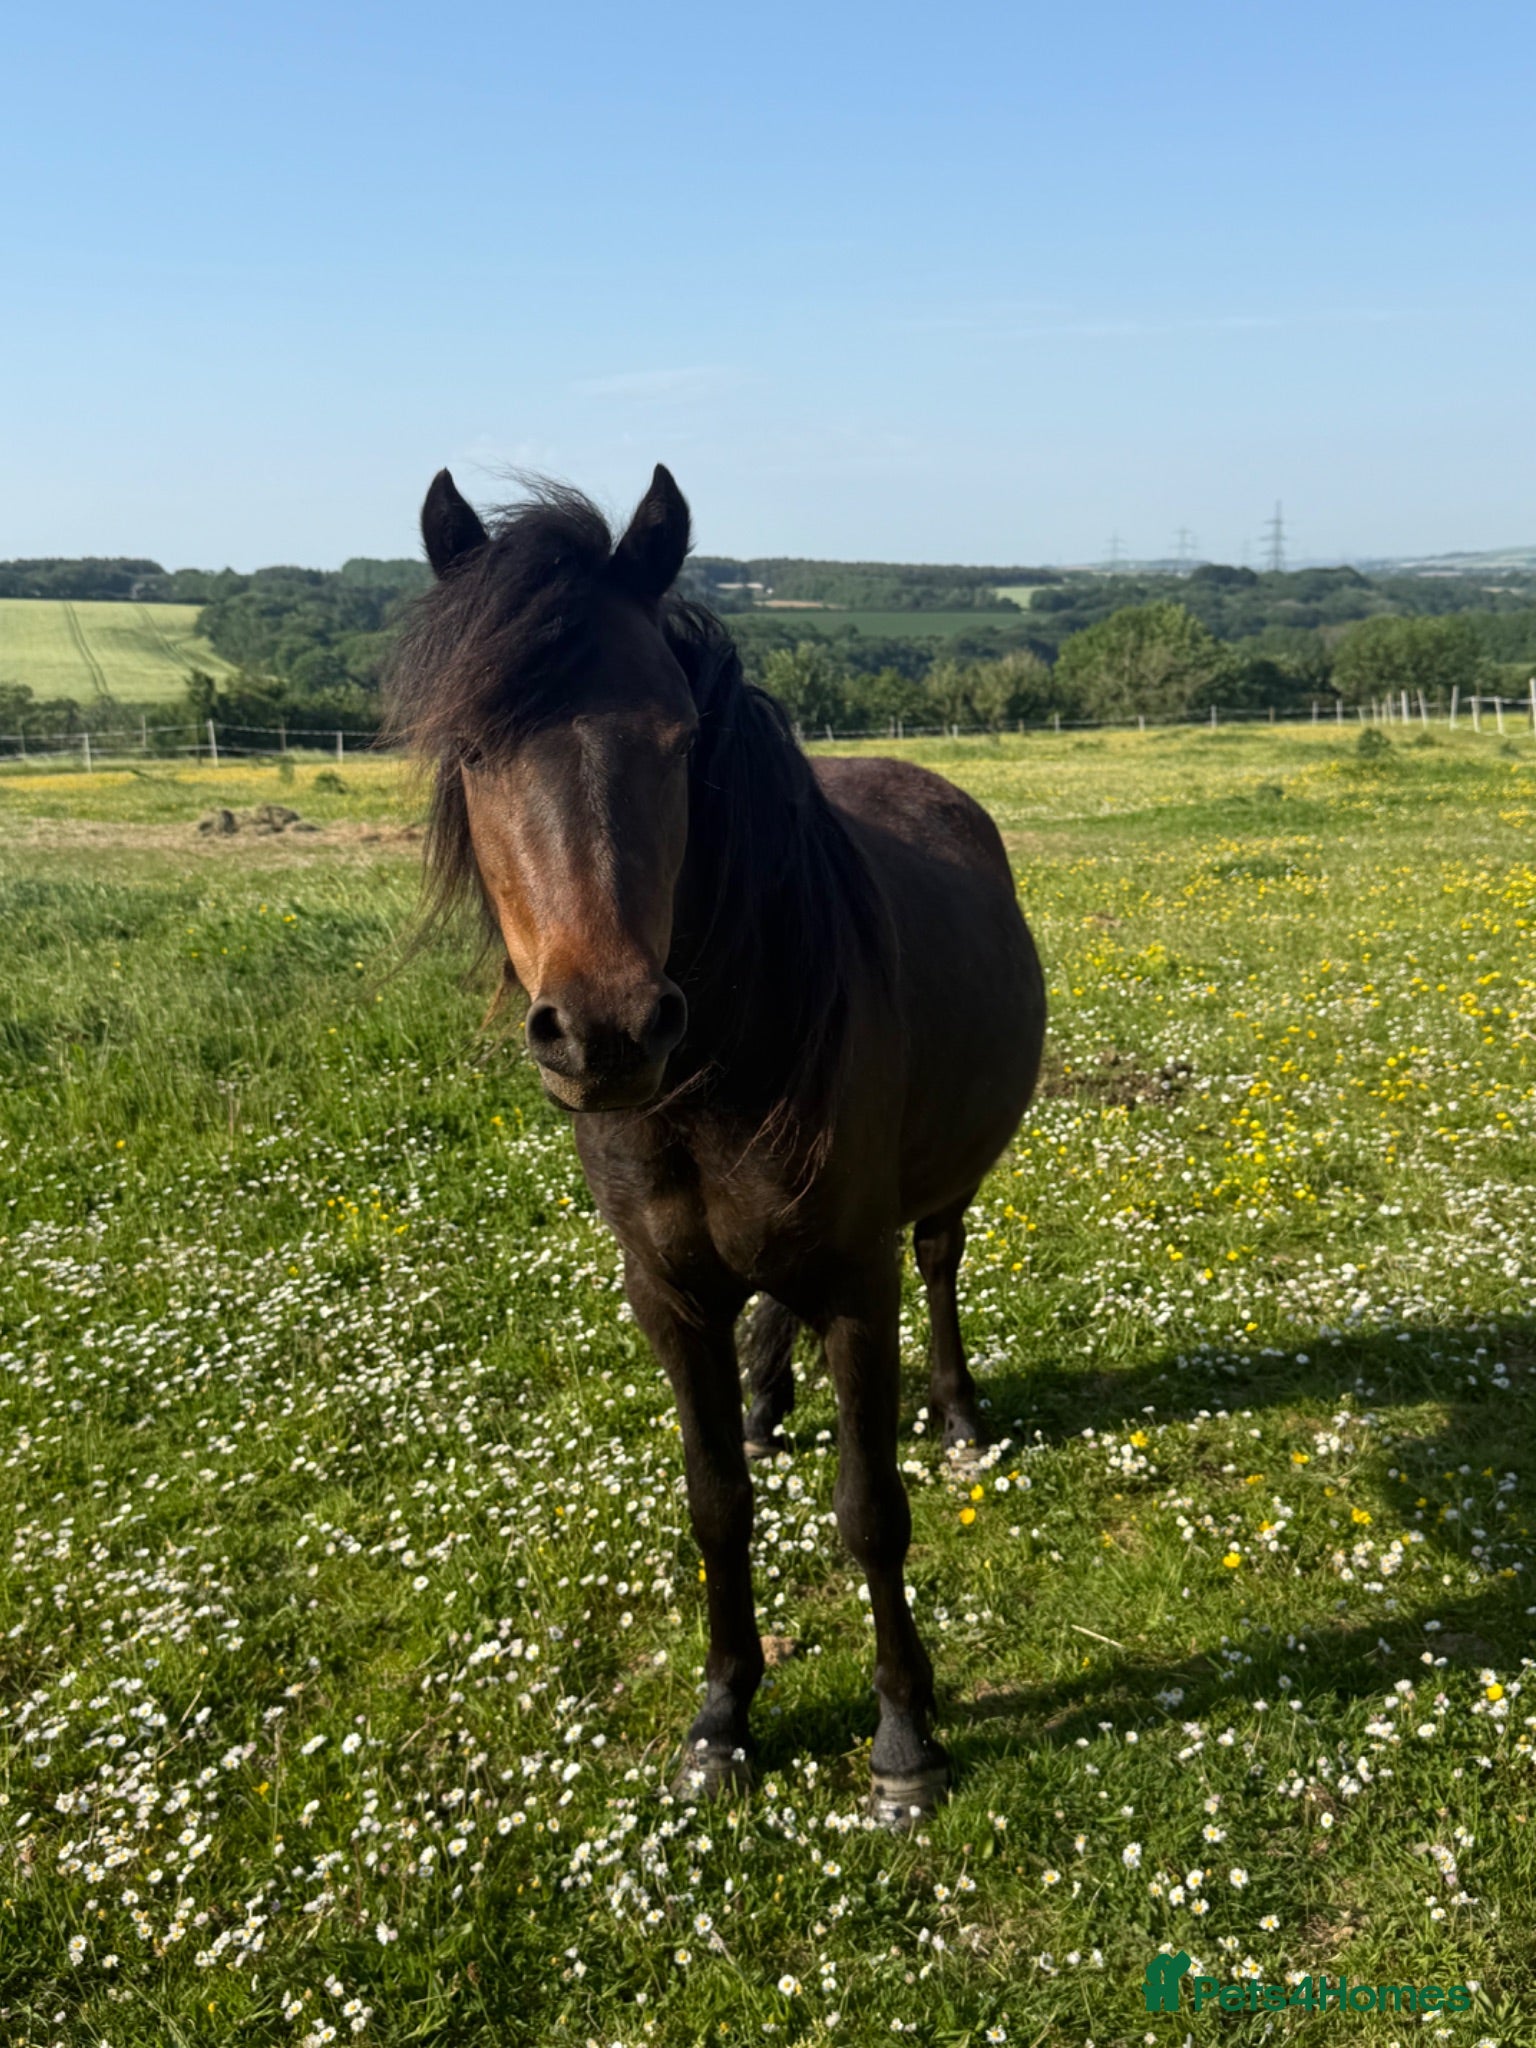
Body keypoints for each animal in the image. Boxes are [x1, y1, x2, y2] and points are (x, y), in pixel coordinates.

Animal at [387, 463, 1046, 1825]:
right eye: (472, 749)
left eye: (680, 742)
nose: (606, 1030)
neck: (707, 1087)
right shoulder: (667, 1290)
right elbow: (713, 1503)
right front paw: (724, 1715)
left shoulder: (857, 1279)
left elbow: (869, 1508)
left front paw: (905, 1736)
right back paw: (762, 1399)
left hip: (940, 1194)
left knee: (943, 1263)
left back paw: (958, 1414)